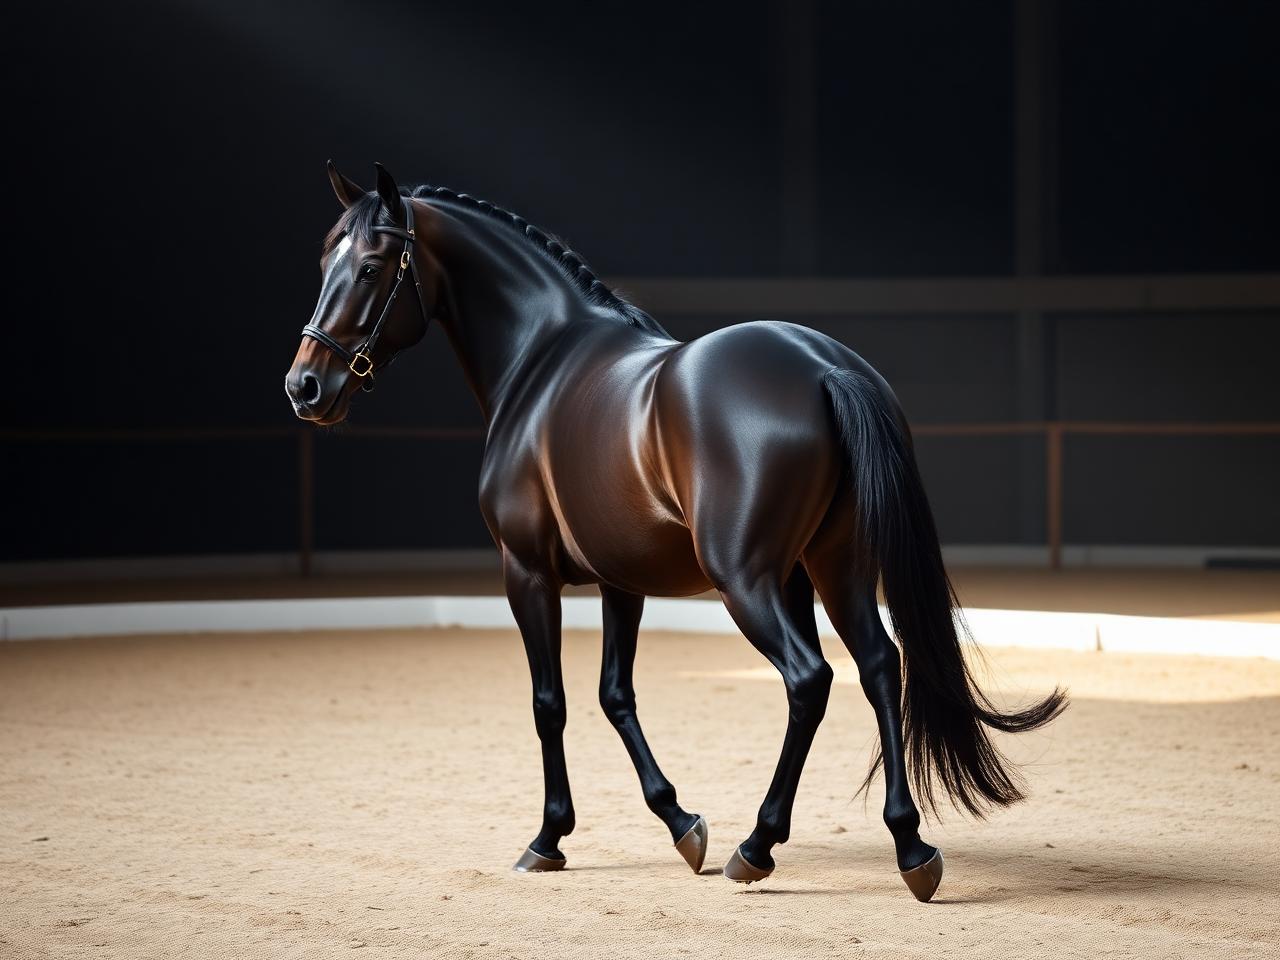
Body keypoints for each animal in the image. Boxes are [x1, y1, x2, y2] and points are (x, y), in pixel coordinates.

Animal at [285, 161, 1067, 902]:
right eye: (325, 262)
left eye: (372, 267)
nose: (305, 387)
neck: (541, 362)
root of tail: (824, 366)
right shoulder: (620, 581)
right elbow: (615, 694)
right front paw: (681, 823)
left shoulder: (527, 574)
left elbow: (549, 703)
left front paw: (549, 838)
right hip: (831, 568)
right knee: (879, 667)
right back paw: (909, 847)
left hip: (748, 580)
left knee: (808, 679)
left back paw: (758, 847)